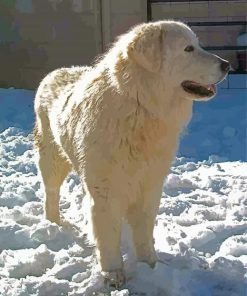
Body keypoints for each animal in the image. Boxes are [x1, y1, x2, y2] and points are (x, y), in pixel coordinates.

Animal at [33, 20, 230, 286]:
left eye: (197, 45)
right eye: (188, 49)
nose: (227, 65)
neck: (140, 106)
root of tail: (54, 73)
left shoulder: (149, 187)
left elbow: (144, 233)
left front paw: (150, 266)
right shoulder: (105, 192)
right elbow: (107, 235)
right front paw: (113, 274)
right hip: (52, 160)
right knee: (51, 193)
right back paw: (53, 223)